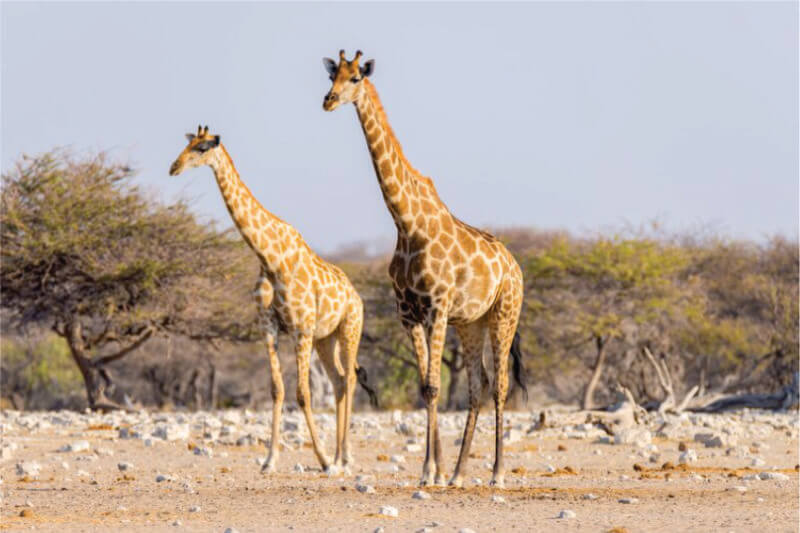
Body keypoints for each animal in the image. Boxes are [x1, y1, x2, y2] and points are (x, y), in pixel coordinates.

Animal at [170, 125, 376, 474]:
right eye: (187, 144)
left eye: (202, 148)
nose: (174, 167)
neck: (270, 258)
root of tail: (357, 296)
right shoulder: (269, 327)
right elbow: (277, 390)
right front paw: (270, 460)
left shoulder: (301, 328)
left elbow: (303, 393)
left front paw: (321, 460)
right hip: (326, 338)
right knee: (337, 381)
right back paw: (338, 455)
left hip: (350, 329)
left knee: (348, 379)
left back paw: (344, 457)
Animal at [322, 51, 528, 486]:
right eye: (332, 76)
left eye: (355, 78)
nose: (328, 101)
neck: (406, 223)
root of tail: (516, 267)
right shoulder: (409, 313)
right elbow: (425, 387)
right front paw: (433, 471)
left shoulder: (437, 307)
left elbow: (433, 386)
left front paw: (430, 471)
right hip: (471, 323)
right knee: (478, 384)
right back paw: (459, 474)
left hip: (505, 314)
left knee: (500, 385)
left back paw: (497, 473)